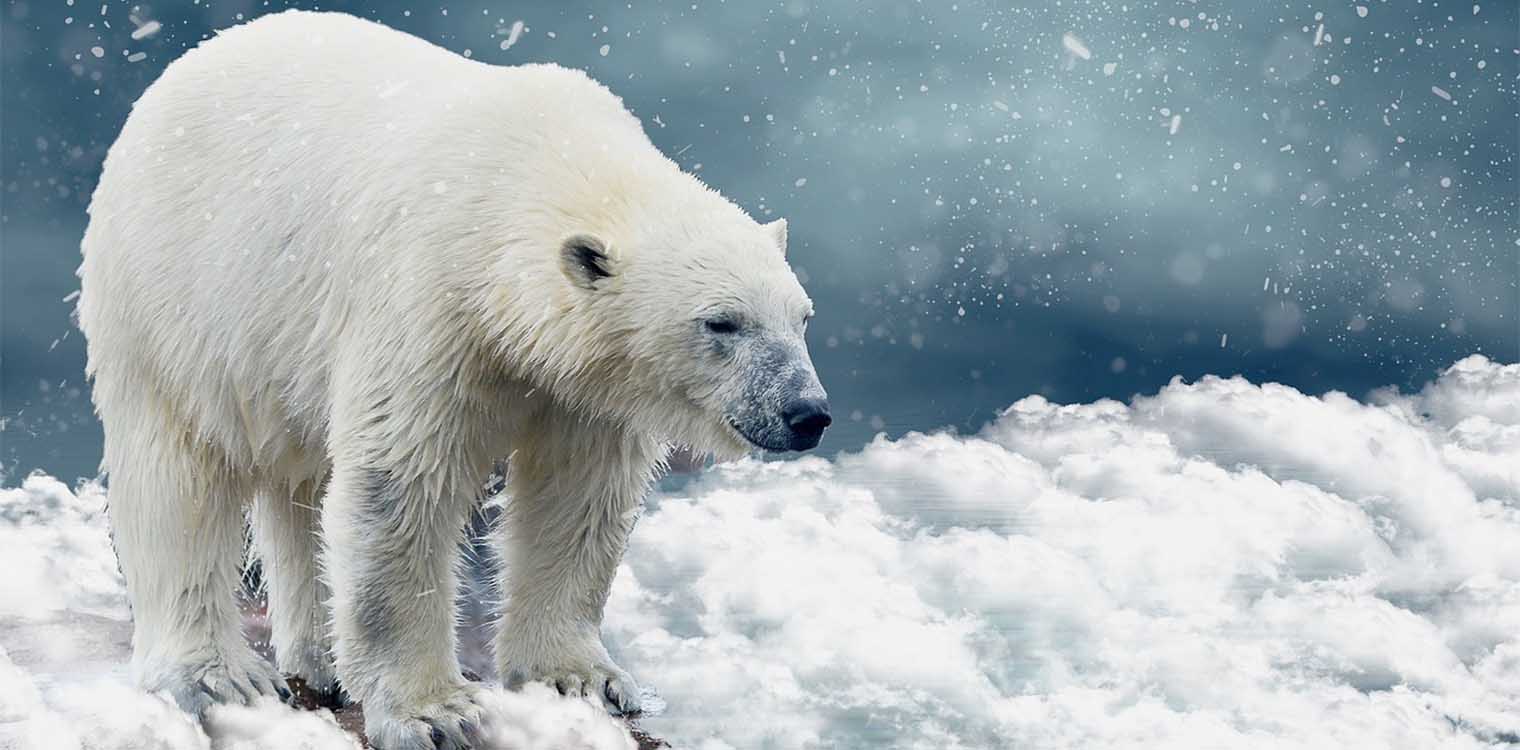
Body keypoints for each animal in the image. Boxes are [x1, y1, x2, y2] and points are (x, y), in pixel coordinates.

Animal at [74, 8, 832, 745]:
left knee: (303, 486)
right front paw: (433, 713)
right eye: (721, 323)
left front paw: (582, 678)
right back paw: (217, 675)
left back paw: (323, 663)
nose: (806, 413)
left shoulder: (582, 387)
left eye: (802, 317)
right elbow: (400, 486)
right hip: (177, 305)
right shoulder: (427, 307)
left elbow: (578, 499)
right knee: (177, 476)